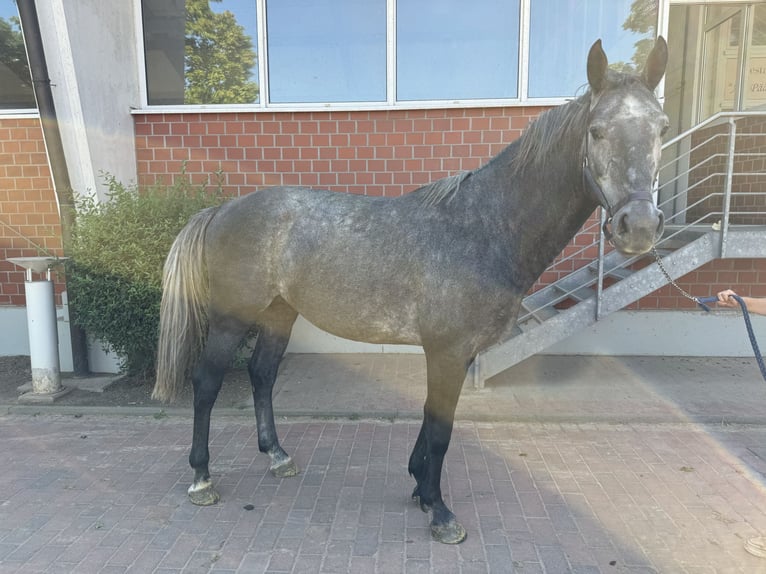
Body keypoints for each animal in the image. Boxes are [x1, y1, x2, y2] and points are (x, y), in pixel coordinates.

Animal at [153, 37, 669, 544]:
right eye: (597, 131)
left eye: (661, 127)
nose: (639, 227)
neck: (483, 227)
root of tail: (223, 209)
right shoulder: (446, 350)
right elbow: (440, 428)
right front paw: (440, 512)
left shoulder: (453, 353)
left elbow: (429, 418)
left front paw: (420, 487)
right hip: (230, 319)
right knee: (206, 383)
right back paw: (201, 478)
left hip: (280, 314)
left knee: (262, 375)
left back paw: (278, 457)